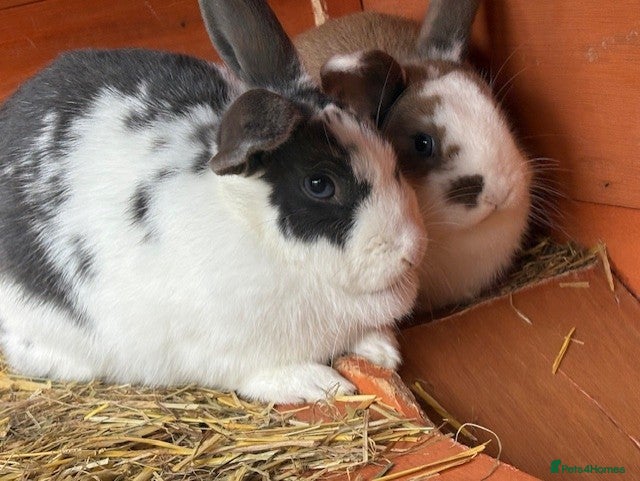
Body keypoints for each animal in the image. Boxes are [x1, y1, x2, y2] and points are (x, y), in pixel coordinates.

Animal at [0, 0, 427, 404]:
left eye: (390, 156)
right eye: (319, 184)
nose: (411, 251)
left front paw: (382, 350)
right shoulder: (222, 351)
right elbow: (261, 373)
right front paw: (318, 383)